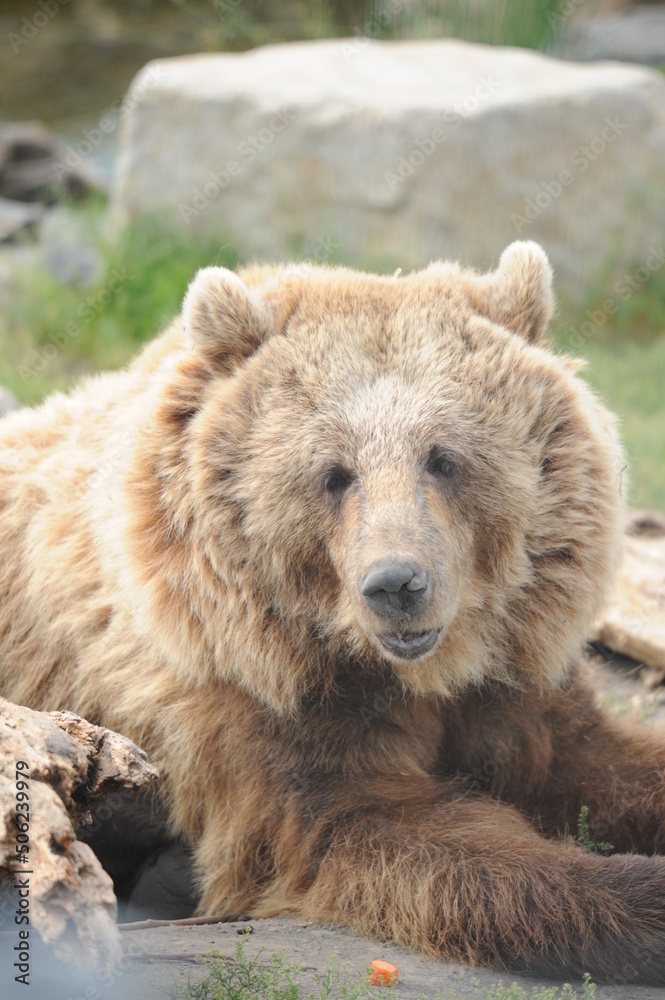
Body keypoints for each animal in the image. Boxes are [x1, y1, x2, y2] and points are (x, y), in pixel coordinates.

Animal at [2, 240, 665, 983]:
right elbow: (385, 833)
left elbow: (594, 762)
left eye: (444, 459)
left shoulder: (515, 686)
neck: (416, 673)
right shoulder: (260, 706)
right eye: (333, 473)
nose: (396, 584)